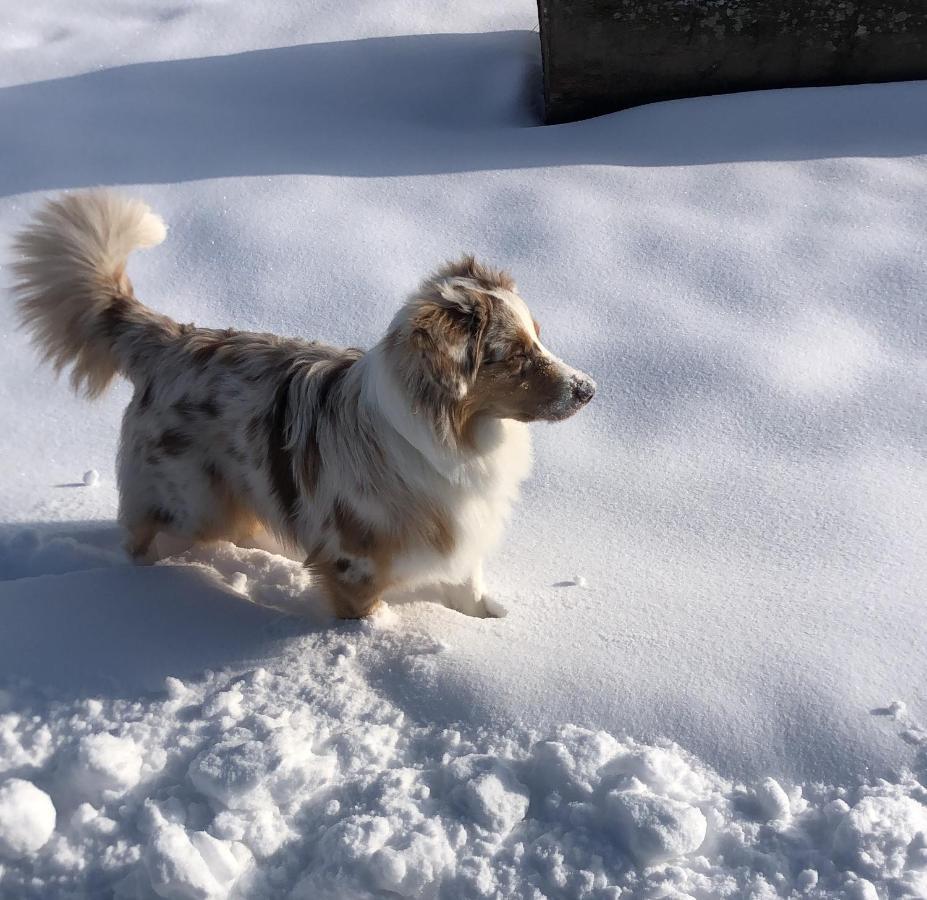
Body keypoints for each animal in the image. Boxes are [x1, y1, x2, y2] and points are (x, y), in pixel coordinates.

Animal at [10, 191, 600, 620]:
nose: (589, 388)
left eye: (539, 338)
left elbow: (473, 594)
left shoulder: (461, 536)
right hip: (191, 499)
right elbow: (366, 614)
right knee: (142, 538)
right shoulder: (354, 565)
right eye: (514, 354)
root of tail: (173, 339)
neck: (452, 434)